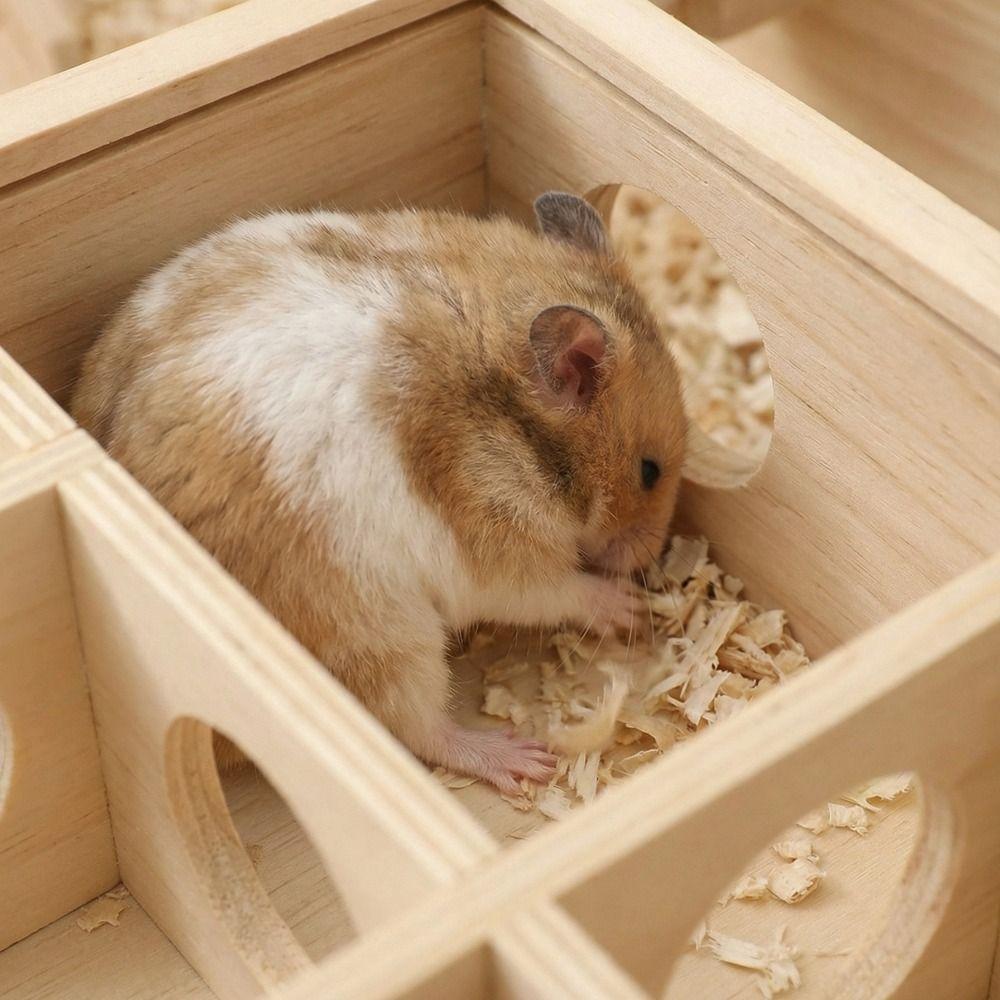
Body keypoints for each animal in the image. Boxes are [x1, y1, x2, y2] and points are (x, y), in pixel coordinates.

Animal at [71, 192, 687, 793]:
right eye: (649, 471)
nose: (653, 559)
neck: (513, 416)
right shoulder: (497, 547)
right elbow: (558, 590)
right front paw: (630, 609)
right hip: (386, 639)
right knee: (417, 729)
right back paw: (523, 762)